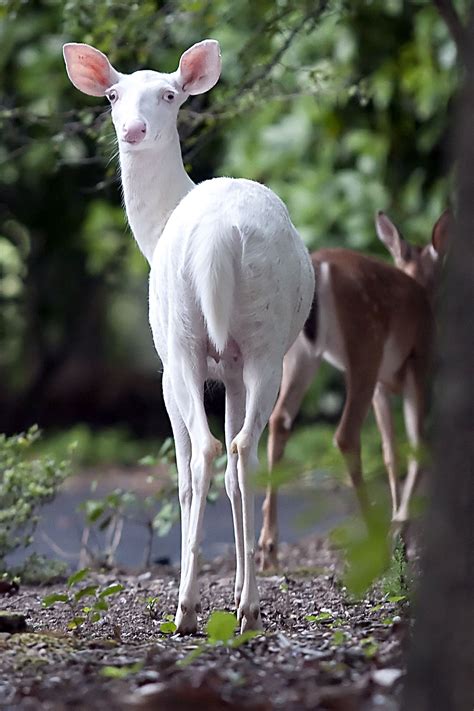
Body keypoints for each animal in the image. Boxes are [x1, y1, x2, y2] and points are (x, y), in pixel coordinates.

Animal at [63, 40, 314, 636]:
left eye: (169, 95)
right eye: (113, 94)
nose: (132, 129)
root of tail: (221, 236)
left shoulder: (168, 370)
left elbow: (179, 478)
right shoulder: (232, 369)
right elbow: (234, 471)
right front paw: (239, 590)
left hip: (179, 340)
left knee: (204, 451)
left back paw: (186, 608)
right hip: (265, 341)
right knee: (243, 448)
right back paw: (247, 607)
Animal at [260, 209, 452, 572]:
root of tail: (319, 267)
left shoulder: (382, 385)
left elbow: (391, 452)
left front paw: (400, 533)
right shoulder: (417, 364)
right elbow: (417, 445)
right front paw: (400, 530)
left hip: (300, 355)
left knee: (279, 420)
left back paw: (268, 550)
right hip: (365, 343)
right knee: (346, 434)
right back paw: (374, 538)